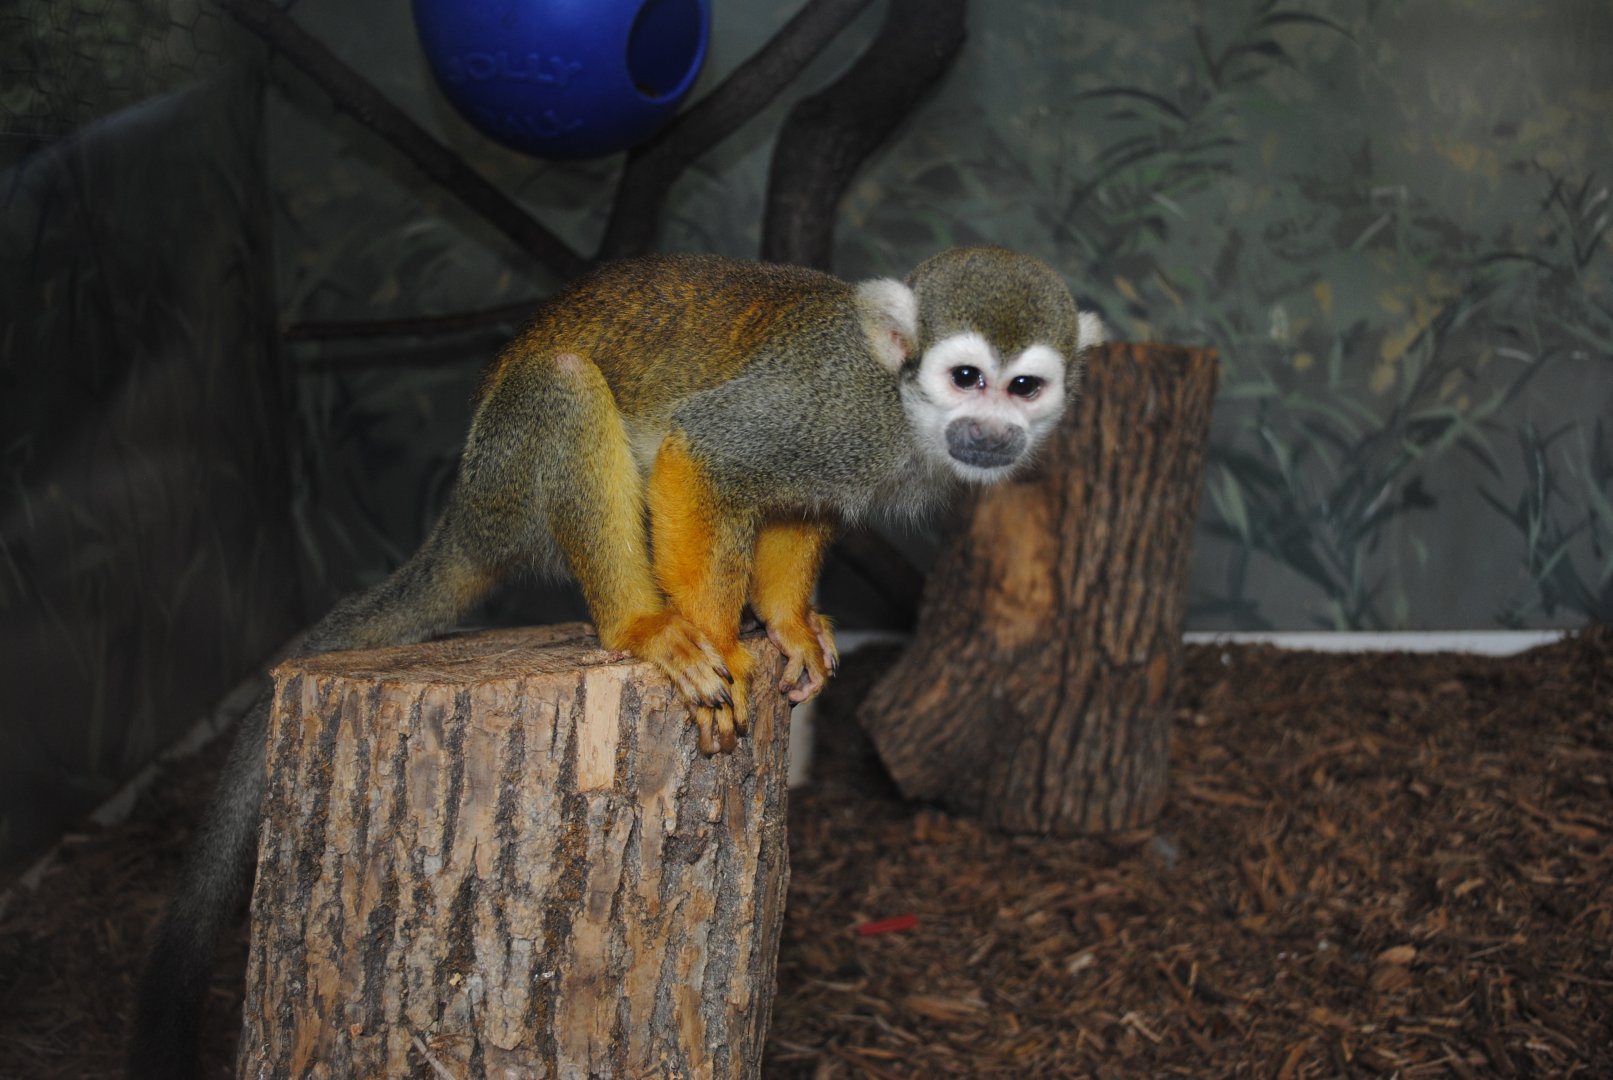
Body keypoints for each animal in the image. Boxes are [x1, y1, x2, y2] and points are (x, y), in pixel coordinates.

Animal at [126, 245, 1103, 1078]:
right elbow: (708, 454)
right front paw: (713, 641)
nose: (990, 429)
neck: (905, 416)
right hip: (510, 480)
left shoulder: (842, 451)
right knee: (564, 387)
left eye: (1023, 387)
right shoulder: (833, 409)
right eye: (965, 378)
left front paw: (787, 625)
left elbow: (796, 506)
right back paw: (639, 626)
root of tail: (466, 511)